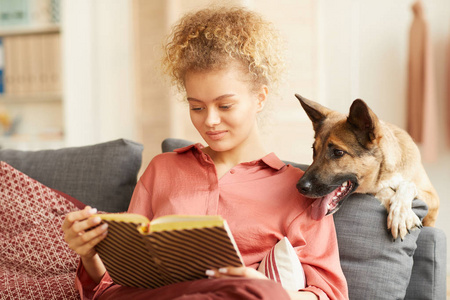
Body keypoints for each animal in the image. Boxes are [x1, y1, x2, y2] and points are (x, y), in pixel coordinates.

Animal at [296, 94, 440, 239]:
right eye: (314, 150)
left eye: (338, 152)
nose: (299, 187)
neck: (387, 171)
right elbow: (384, 190)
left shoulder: (433, 200)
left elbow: (408, 184)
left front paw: (400, 214)